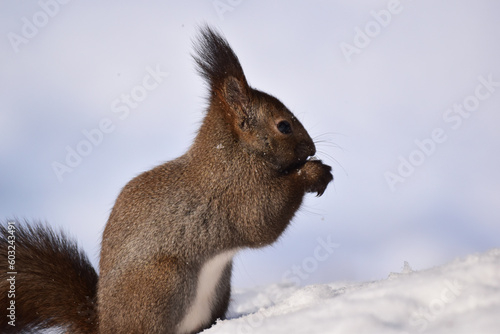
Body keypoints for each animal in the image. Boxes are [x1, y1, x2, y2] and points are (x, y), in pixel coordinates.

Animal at [2, 24, 336, 332]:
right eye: (284, 126)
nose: (311, 149)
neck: (233, 152)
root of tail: (104, 325)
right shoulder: (236, 190)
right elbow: (262, 221)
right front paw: (313, 173)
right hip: (162, 284)